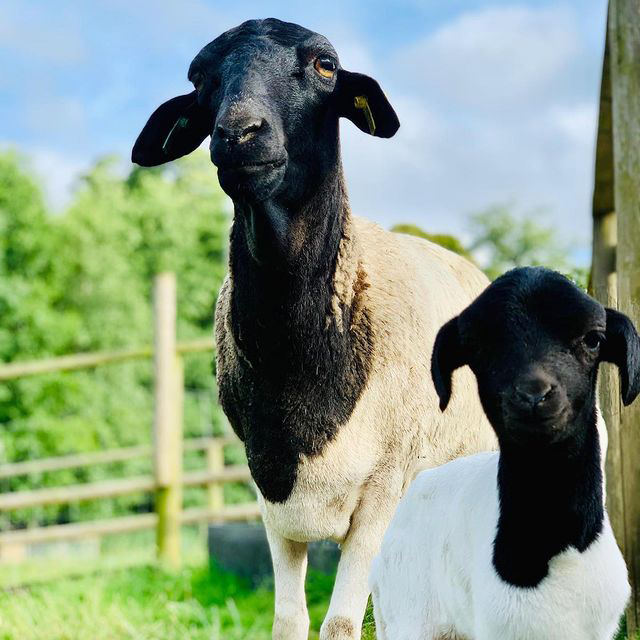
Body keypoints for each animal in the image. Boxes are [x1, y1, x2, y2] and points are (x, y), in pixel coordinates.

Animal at [131, 18, 495, 640]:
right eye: (200, 78)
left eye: (326, 66)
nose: (238, 134)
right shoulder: (271, 493)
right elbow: (288, 620)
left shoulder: (382, 492)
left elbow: (341, 625)